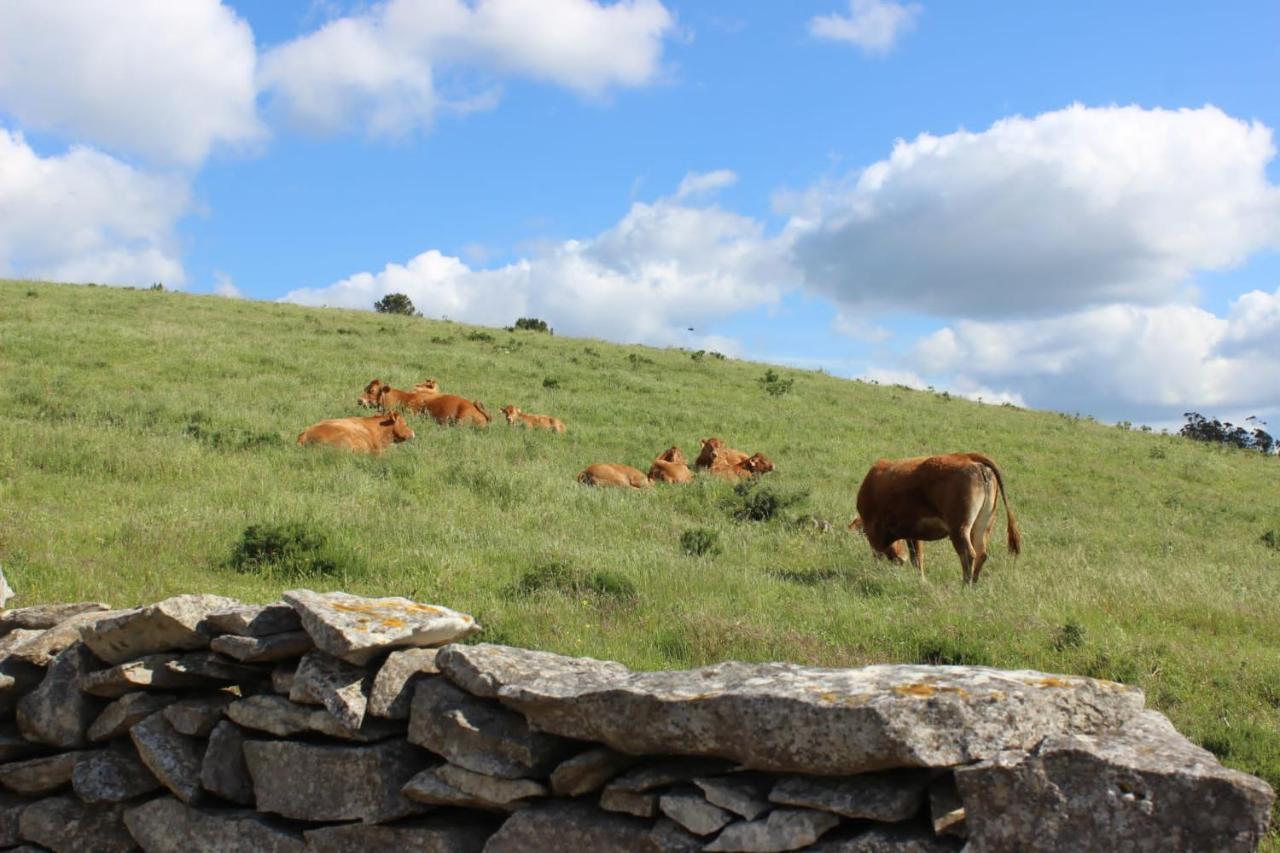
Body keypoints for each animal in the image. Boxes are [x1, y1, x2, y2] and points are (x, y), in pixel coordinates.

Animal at [849, 450, 1018, 584]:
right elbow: (917, 559)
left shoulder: (874, 530)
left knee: (968, 554)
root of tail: (967, 457)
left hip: (959, 528)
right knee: (981, 554)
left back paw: (965, 585)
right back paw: (974, 585)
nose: (900, 559)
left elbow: (878, 556)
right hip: (983, 526)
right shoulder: (913, 534)